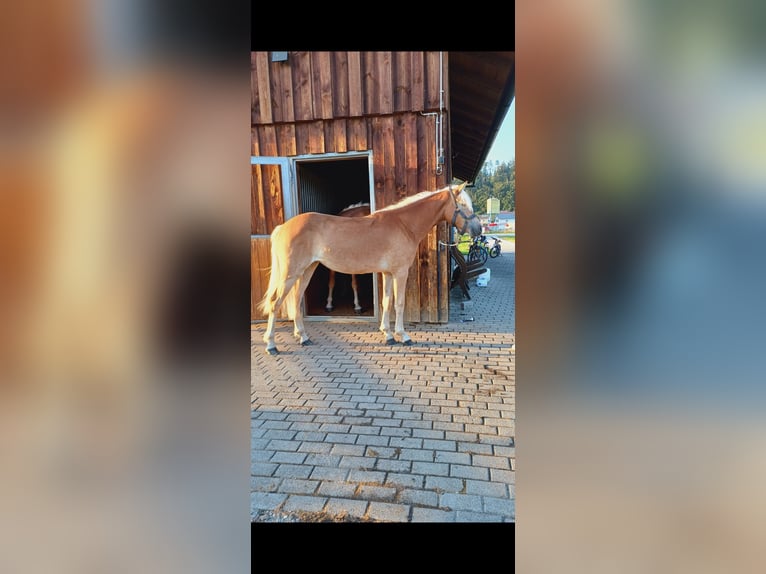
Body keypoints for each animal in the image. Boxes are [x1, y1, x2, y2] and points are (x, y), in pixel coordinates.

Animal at [260, 184, 484, 356]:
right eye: (463, 205)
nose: (478, 230)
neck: (404, 225)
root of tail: (282, 227)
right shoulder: (400, 272)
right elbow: (399, 304)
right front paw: (403, 336)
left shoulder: (388, 273)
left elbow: (386, 302)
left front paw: (388, 334)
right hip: (290, 274)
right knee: (275, 303)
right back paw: (271, 345)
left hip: (306, 270)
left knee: (296, 301)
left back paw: (303, 337)